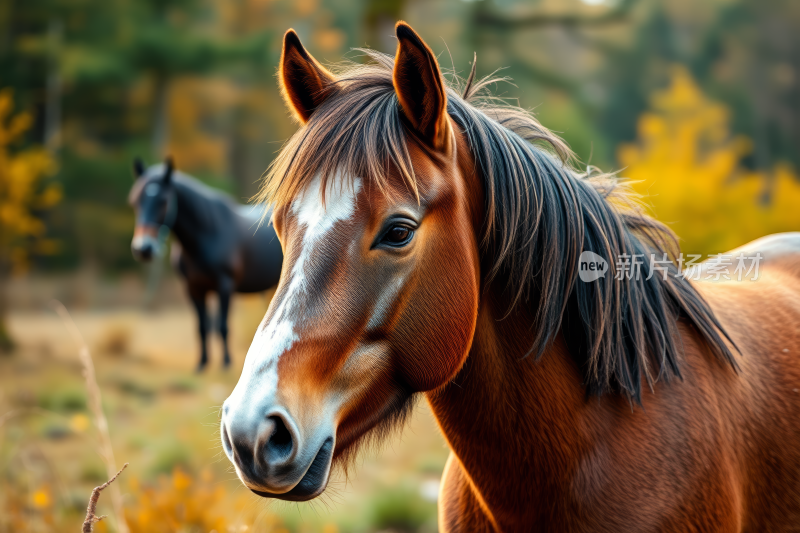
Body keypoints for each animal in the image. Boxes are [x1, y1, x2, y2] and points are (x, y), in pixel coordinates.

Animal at [130, 159, 282, 370]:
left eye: (163, 201)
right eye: (135, 201)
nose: (143, 248)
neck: (207, 232)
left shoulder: (224, 286)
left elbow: (222, 326)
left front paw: (226, 362)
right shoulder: (193, 288)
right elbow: (202, 327)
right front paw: (202, 363)